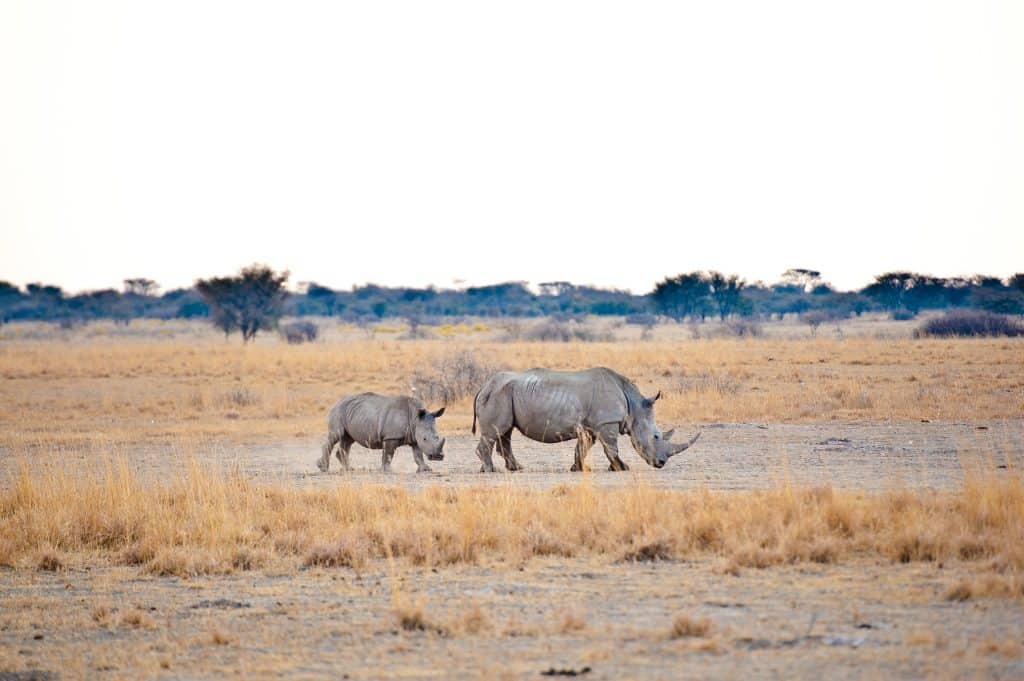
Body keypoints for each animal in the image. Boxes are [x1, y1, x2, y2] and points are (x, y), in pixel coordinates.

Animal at [317, 393, 446, 473]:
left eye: (437, 436)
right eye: (425, 439)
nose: (438, 456)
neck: (415, 418)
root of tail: (336, 402)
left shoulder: (414, 437)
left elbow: (418, 455)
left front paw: (425, 470)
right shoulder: (391, 437)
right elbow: (388, 454)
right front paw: (388, 471)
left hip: (352, 413)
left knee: (348, 440)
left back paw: (349, 470)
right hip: (338, 411)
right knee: (336, 435)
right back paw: (323, 468)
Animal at [471, 367, 700, 472]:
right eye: (656, 436)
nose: (661, 463)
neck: (634, 407)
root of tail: (483, 386)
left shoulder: (592, 426)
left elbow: (583, 447)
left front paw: (578, 468)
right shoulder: (607, 422)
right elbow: (611, 448)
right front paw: (622, 468)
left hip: (504, 394)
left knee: (505, 432)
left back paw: (515, 468)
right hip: (498, 394)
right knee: (496, 431)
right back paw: (491, 470)